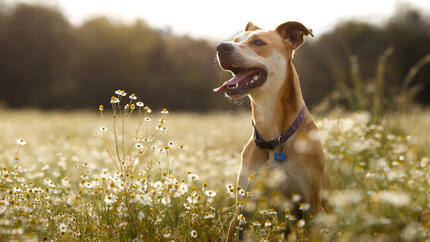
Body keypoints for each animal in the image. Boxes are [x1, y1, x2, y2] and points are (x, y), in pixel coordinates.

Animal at [214, 21, 330, 240]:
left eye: (258, 42)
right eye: (235, 40)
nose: (221, 47)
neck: (274, 138)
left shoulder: (312, 206)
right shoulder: (243, 207)